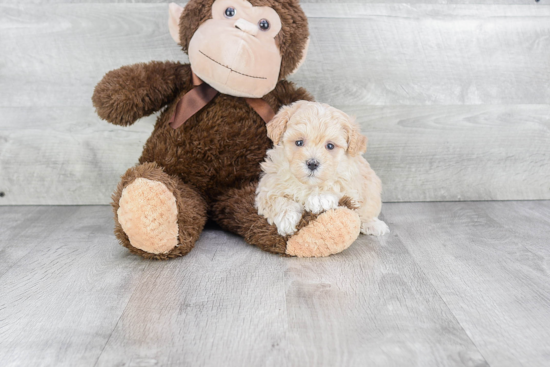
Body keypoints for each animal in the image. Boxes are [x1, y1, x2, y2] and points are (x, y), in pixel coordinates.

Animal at [256, 102, 390, 237]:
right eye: (299, 142)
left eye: (330, 146)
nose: (312, 164)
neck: (308, 184)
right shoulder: (268, 186)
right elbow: (276, 200)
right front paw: (287, 218)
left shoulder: (351, 183)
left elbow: (337, 185)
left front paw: (319, 197)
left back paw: (373, 225)